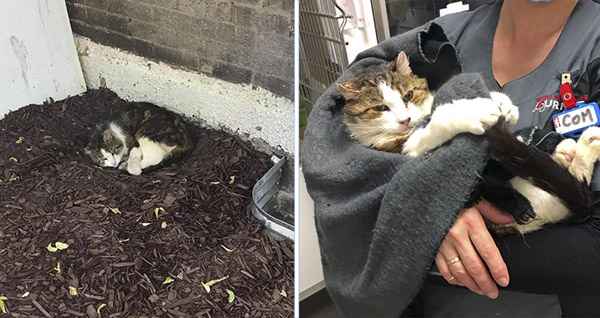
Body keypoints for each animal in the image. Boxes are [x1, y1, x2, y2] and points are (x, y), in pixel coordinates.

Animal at [338, 52, 600, 235]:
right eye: (380, 108)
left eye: (408, 95)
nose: (405, 120)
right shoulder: (405, 148)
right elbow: (440, 122)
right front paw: (475, 113)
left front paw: (502, 102)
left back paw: (576, 149)